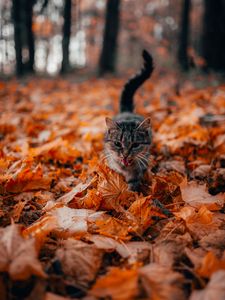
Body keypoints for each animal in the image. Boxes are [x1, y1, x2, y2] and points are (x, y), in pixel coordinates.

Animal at [104, 49, 154, 190]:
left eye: (135, 145)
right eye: (117, 143)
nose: (125, 154)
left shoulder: (140, 165)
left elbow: (134, 180)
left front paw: (132, 191)